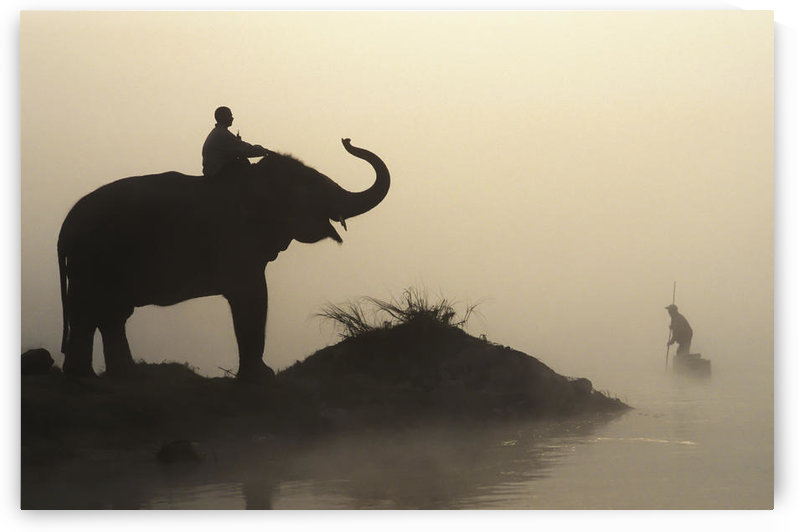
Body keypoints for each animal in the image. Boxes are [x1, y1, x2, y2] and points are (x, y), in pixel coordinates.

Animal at [57, 138, 390, 382]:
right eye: (310, 187)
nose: (347, 140)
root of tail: (65, 228)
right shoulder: (235, 241)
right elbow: (253, 295)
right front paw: (262, 377)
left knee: (109, 315)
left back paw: (122, 376)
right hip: (94, 260)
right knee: (90, 312)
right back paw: (86, 380)